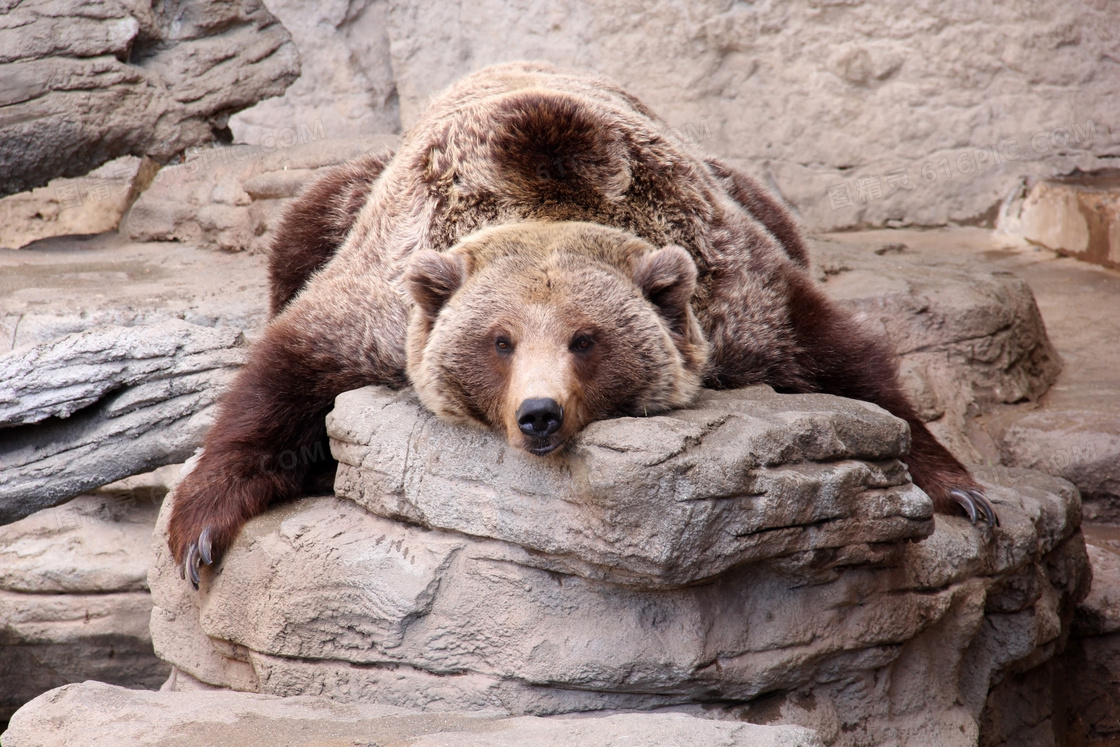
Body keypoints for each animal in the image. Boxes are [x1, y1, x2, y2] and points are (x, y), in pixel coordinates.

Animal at [168, 61, 999, 586]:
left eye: (586, 340)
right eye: (499, 342)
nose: (540, 413)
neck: (546, 197)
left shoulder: (731, 285)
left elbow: (843, 359)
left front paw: (958, 489)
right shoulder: (390, 285)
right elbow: (289, 368)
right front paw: (199, 529)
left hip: (752, 192)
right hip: (341, 197)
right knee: (298, 233)